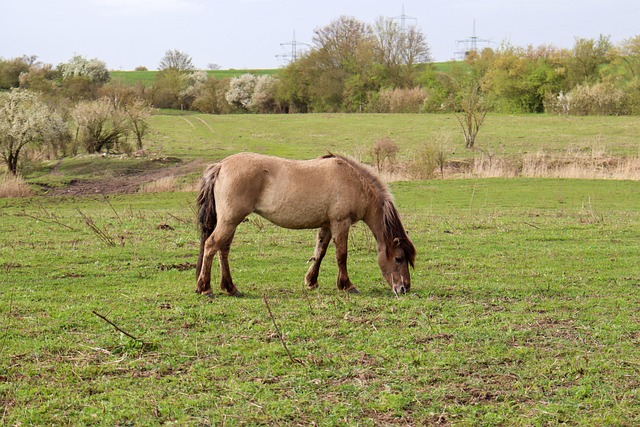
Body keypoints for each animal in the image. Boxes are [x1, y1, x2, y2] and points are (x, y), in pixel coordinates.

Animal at [195, 152, 416, 297]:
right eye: (399, 258)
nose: (404, 288)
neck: (354, 182)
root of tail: (220, 166)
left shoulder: (327, 225)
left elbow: (320, 252)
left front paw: (311, 281)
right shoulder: (340, 223)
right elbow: (341, 255)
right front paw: (347, 285)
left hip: (231, 222)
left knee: (223, 250)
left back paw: (230, 288)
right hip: (230, 221)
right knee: (211, 245)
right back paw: (205, 287)